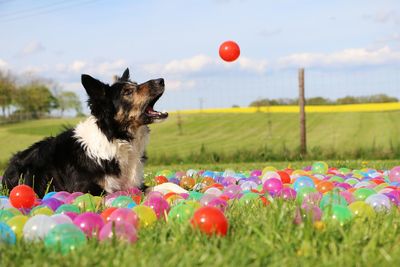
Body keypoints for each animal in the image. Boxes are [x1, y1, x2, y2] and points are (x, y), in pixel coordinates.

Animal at [0, 68, 169, 199]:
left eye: (135, 85)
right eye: (127, 92)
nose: (161, 80)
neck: (116, 138)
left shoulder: (136, 183)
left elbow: (158, 187)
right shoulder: (86, 189)